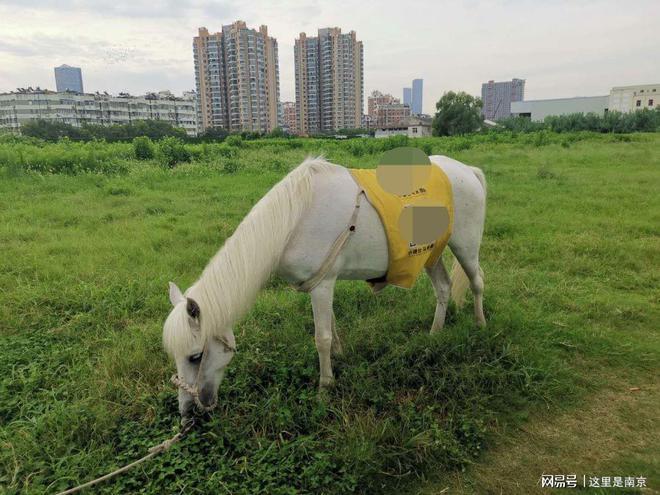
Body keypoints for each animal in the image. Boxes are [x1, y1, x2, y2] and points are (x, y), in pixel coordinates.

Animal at [163, 156, 487, 422]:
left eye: (195, 356)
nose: (187, 411)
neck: (293, 221)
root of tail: (468, 170)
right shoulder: (320, 284)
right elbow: (331, 325)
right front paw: (340, 356)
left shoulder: (323, 285)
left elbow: (322, 338)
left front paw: (325, 387)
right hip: (431, 254)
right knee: (443, 288)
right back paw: (434, 333)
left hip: (465, 246)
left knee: (476, 282)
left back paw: (480, 324)